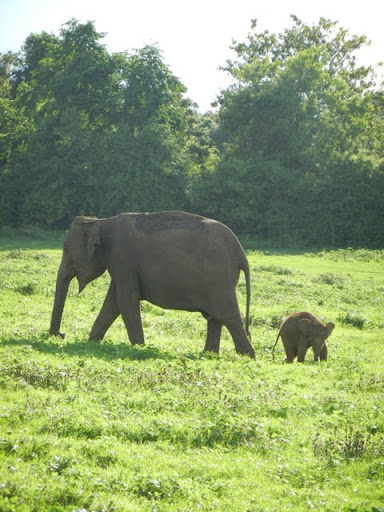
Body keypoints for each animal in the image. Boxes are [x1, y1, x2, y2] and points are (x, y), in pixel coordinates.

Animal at [50, 210, 255, 358]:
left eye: (66, 249)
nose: (61, 335)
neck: (101, 221)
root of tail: (240, 251)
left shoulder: (123, 259)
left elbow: (125, 301)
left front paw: (140, 348)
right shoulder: (121, 266)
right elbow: (113, 303)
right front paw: (91, 343)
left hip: (218, 278)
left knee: (228, 316)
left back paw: (247, 357)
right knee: (215, 318)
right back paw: (208, 355)